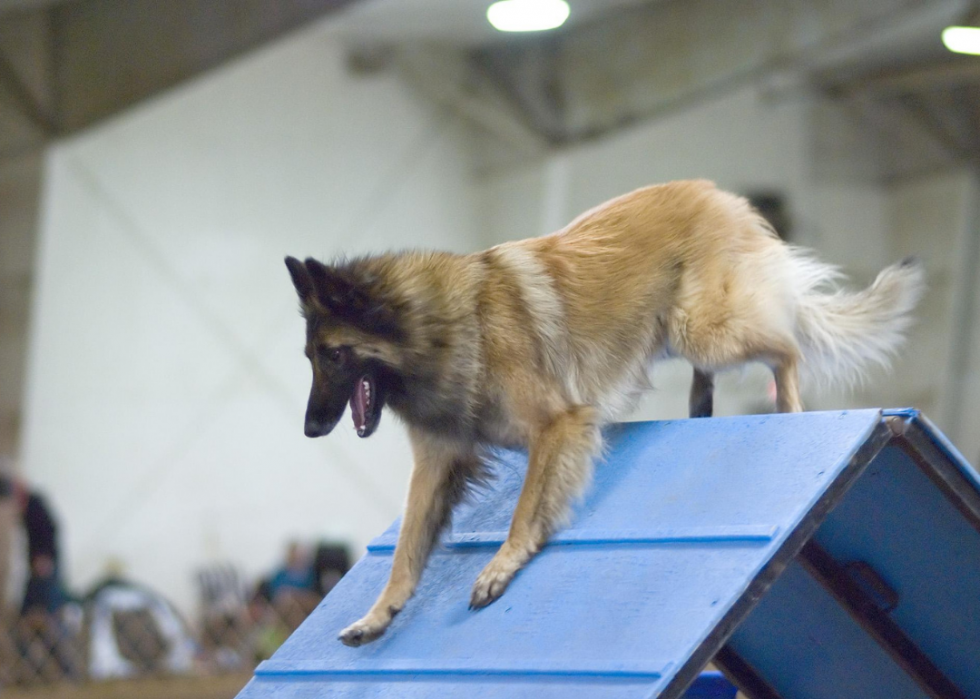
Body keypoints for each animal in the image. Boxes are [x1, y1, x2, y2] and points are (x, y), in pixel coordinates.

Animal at [282, 178, 920, 648]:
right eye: (310, 358)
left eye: (334, 355)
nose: (310, 429)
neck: (440, 326)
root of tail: (718, 192)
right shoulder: (438, 464)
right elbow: (407, 551)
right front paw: (378, 614)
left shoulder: (557, 424)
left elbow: (526, 507)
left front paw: (503, 564)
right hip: (683, 330)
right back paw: (701, 407)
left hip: (704, 326)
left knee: (787, 344)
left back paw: (787, 406)